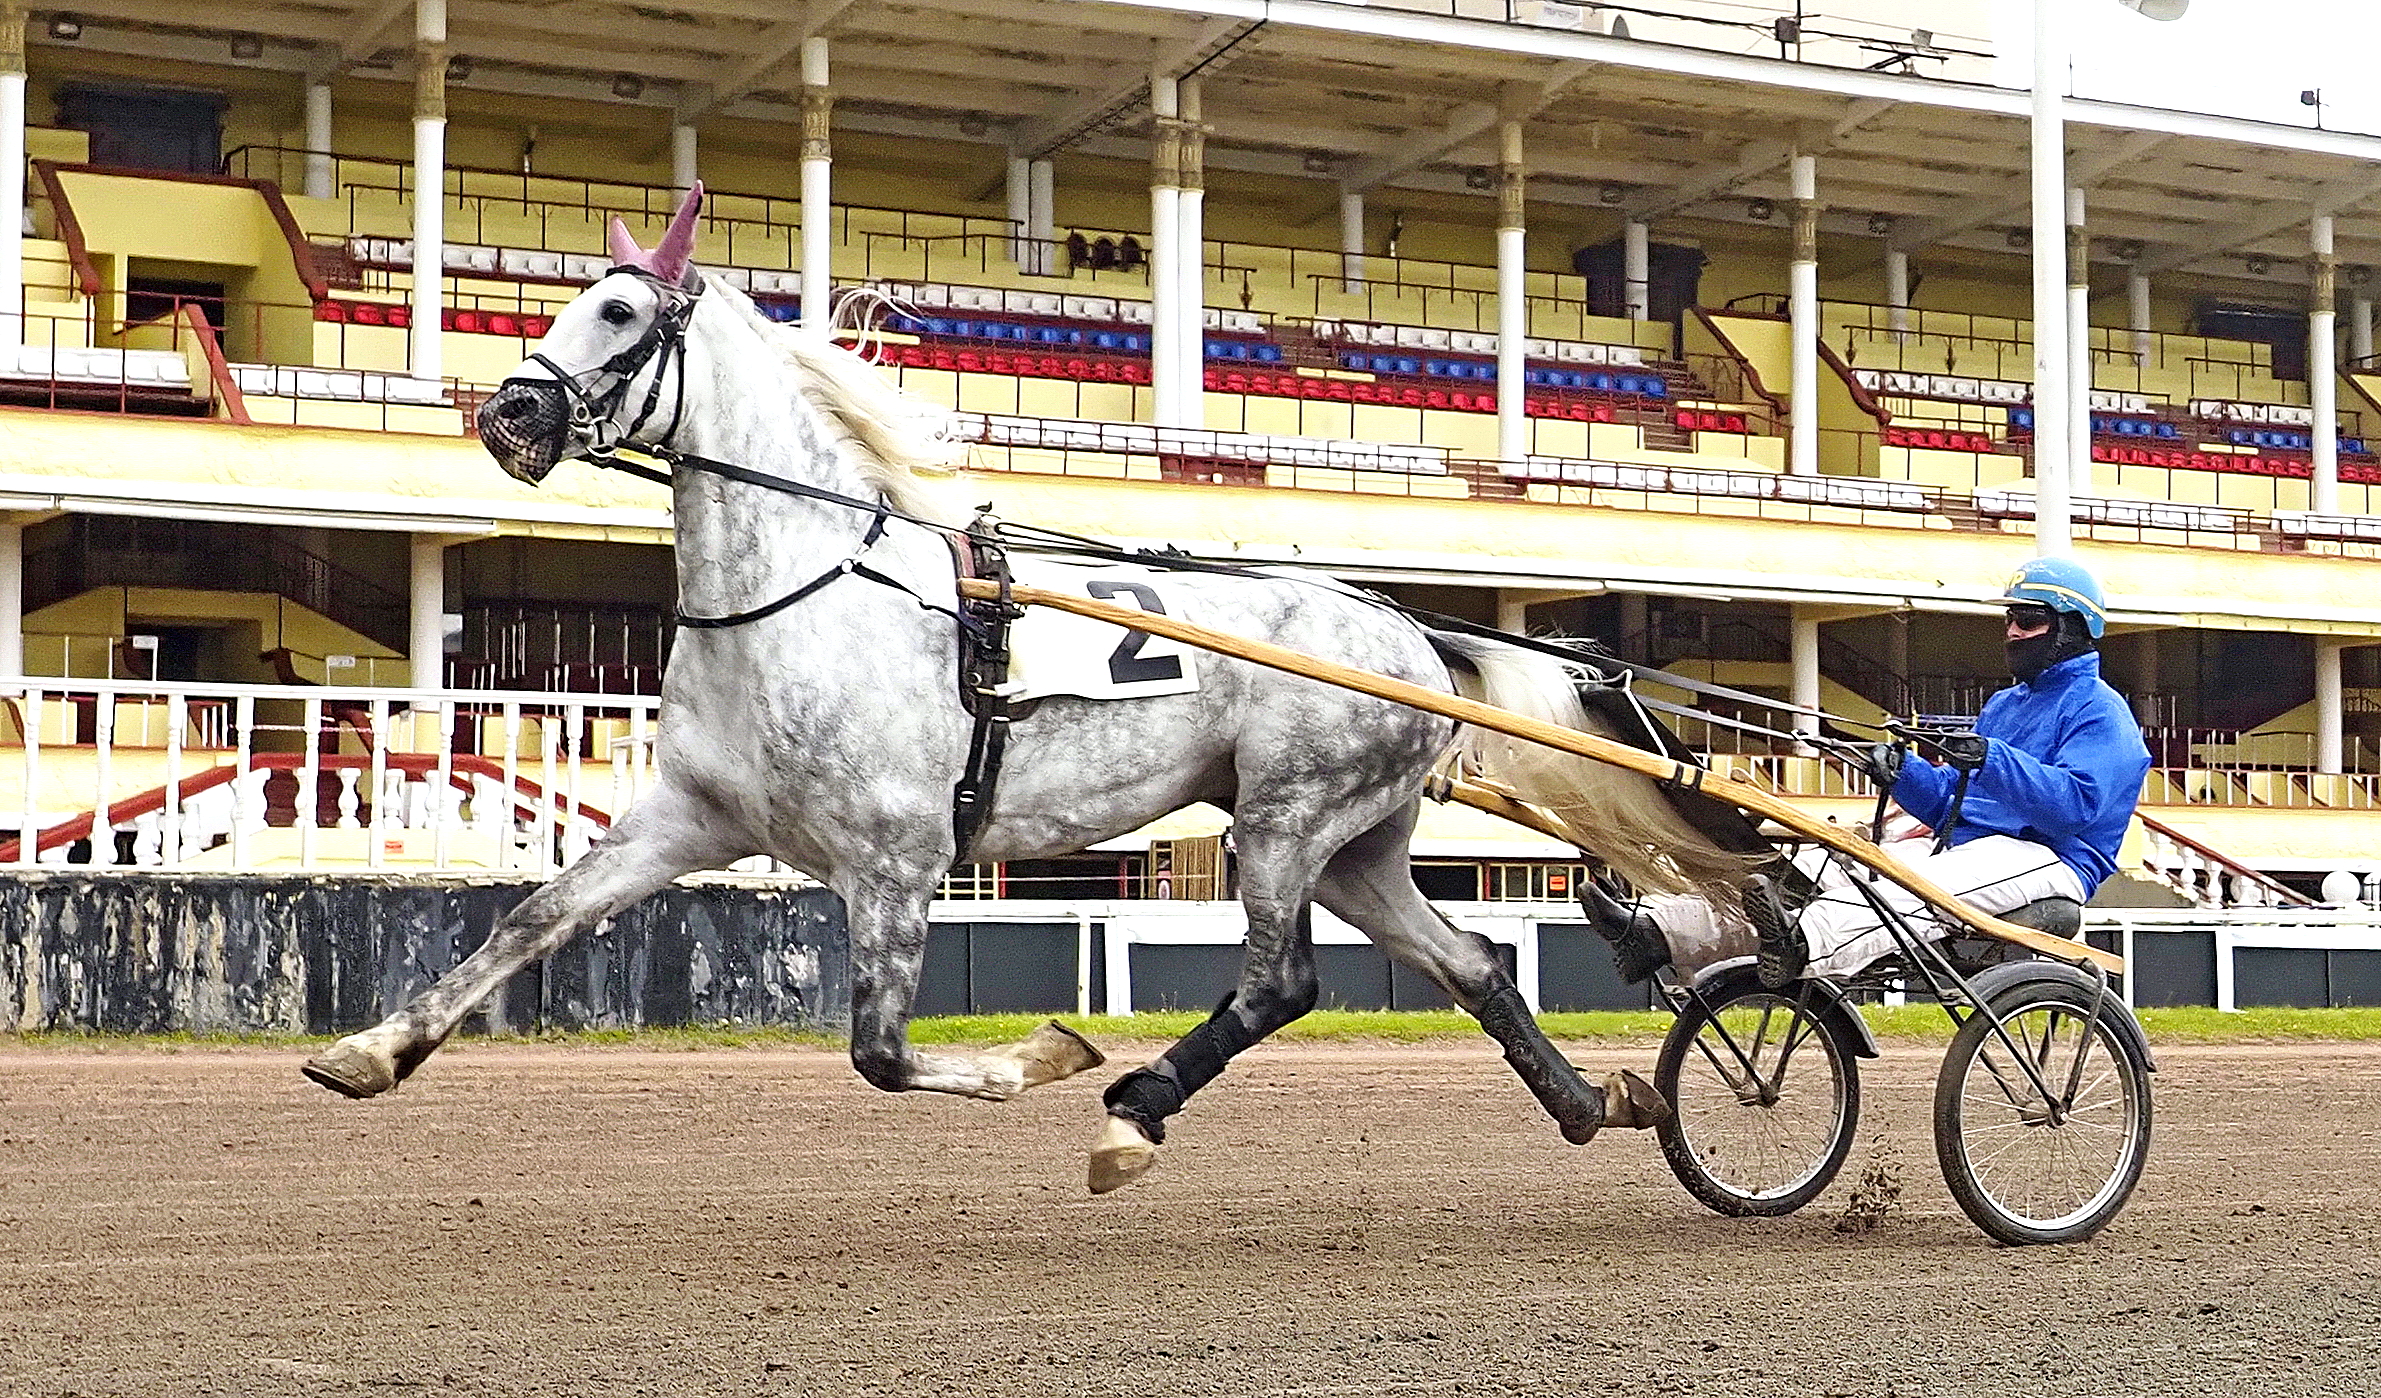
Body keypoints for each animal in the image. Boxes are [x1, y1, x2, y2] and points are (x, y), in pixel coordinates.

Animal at [302, 185, 1752, 1190]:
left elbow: (882, 1052)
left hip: (1285, 818)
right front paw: (370, 1050)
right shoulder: (687, 819)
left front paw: (1041, 1058)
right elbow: (527, 921)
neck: (808, 593)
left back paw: (1136, 1114)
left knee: (1281, 984)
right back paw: (1590, 1100)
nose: (509, 418)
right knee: (1470, 962)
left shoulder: (894, 858)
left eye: (616, 313)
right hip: (1355, 844)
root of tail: (1400, 626)